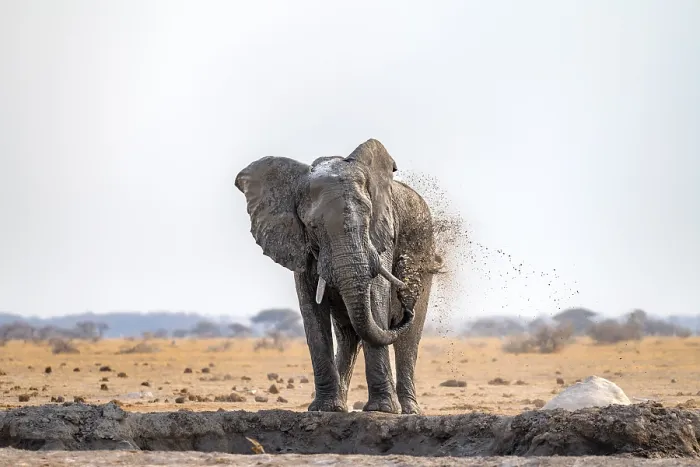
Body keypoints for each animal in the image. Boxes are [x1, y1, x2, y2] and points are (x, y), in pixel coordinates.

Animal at [235, 138, 441, 414]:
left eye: (367, 217)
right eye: (312, 226)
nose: (406, 305)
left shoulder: (381, 234)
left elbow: (375, 297)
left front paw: (382, 411)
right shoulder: (297, 245)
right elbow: (312, 311)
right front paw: (323, 409)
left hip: (424, 251)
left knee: (406, 338)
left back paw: (408, 410)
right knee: (348, 334)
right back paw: (340, 405)